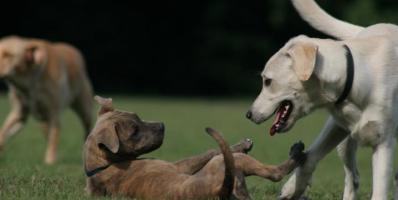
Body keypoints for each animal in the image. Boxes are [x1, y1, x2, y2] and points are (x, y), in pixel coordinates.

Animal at [0, 35, 93, 164]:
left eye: (8, 55)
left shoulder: (53, 114)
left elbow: (54, 137)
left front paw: (50, 161)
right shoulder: (19, 113)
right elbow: (3, 131)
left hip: (84, 109)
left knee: (87, 128)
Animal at [84, 96, 306, 199]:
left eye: (137, 116)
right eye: (134, 132)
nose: (163, 126)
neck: (101, 165)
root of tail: (219, 190)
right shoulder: (179, 166)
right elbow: (207, 152)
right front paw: (243, 144)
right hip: (226, 163)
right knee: (274, 172)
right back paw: (296, 151)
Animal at [247, 0, 396, 199]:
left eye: (268, 81)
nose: (248, 114)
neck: (353, 76)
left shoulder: (383, 143)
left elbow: (379, 191)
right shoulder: (336, 126)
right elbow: (309, 158)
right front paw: (293, 188)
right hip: (345, 145)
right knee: (353, 177)